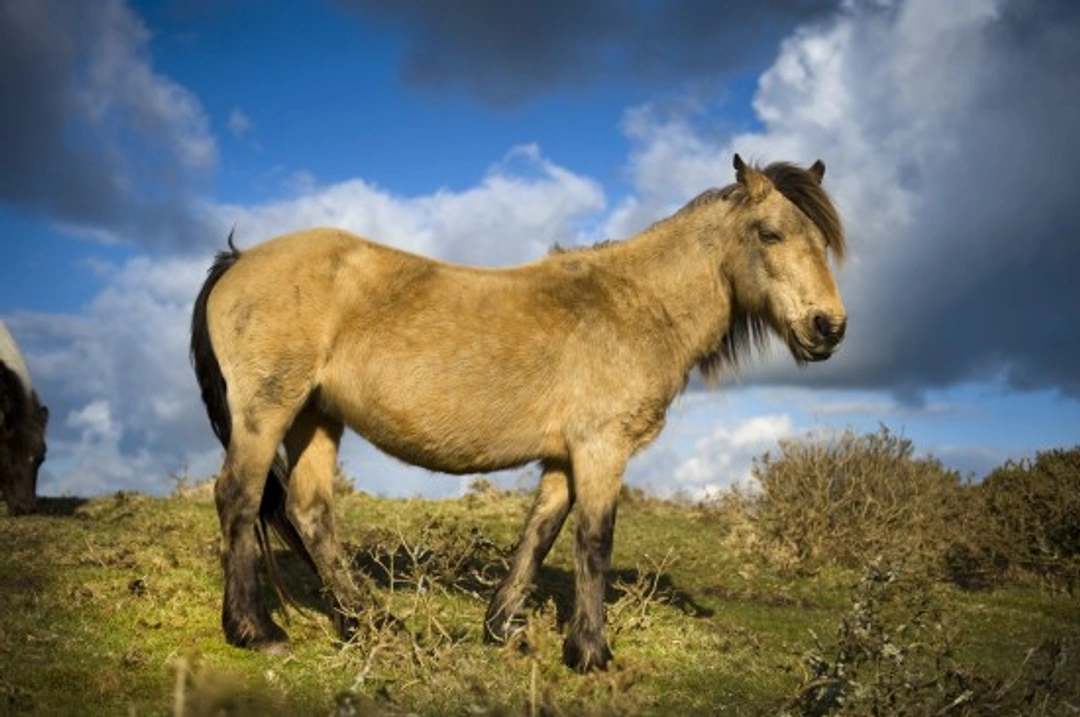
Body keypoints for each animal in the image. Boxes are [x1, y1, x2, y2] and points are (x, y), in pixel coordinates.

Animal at [190, 154, 848, 672]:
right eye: (770, 234)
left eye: (824, 242)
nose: (829, 328)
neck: (635, 306)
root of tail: (239, 260)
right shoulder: (601, 449)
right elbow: (594, 542)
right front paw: (590, 654)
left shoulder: (565, 456)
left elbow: (542, 532)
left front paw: (502, 626)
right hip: (268, 411)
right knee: (239, 499)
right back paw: (257, 630)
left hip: (316, 417)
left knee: (309, 511)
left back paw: (369, 623)